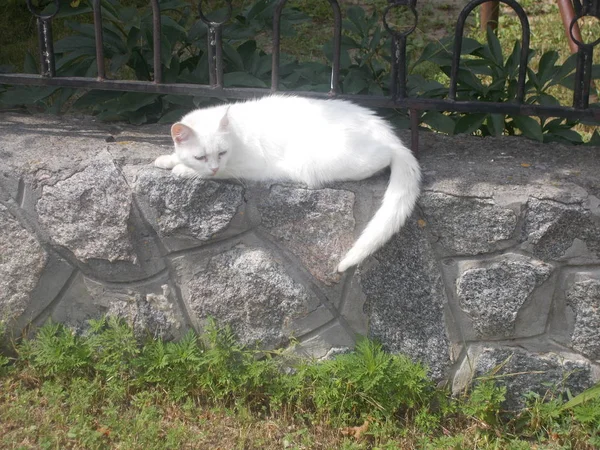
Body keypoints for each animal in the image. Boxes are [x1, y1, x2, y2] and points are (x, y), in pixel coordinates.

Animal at [157, 94, 424, 270]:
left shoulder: (243, 167)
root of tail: (391, 138)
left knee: (381, 159)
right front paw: (167, 159)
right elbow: (176, 157)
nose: (212, 166)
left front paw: (182, 169)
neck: (235, 133)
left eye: (221, 153)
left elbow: (211, 172)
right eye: (200, 156)